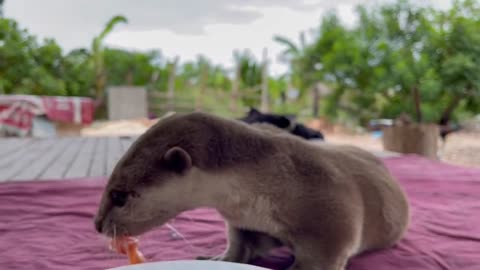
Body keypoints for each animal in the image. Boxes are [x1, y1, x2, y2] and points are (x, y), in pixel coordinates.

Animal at [93, 111, 408, 270]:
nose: (96, 225)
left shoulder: (332, 213)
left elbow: (325, 256)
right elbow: (241, 242)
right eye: (108, 187)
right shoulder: (243, 218)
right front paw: (218, 258)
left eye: (119, 196)